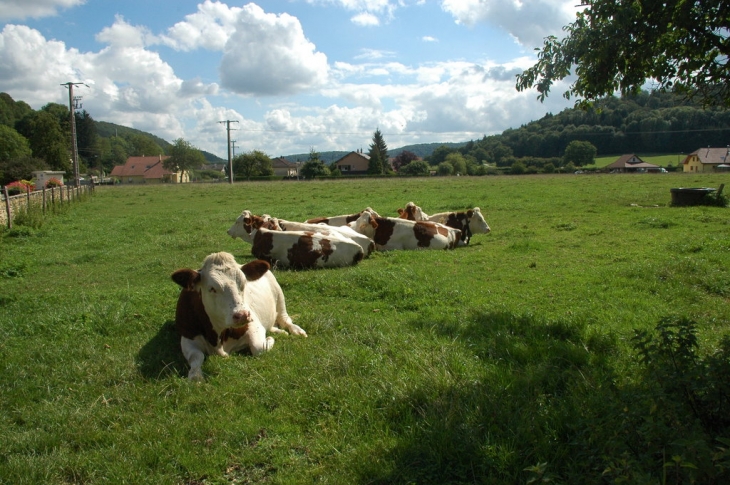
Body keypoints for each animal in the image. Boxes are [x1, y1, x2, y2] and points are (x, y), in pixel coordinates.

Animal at [171, 251, 304, 380]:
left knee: (285, 318)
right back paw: (278, 331)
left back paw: (296, 330)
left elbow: (259, 347)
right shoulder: (187, 336)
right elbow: (196, 357)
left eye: (244, 284)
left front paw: (269, 340)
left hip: (279, 295)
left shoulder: (254, 325)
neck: (218, 338)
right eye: (212, 288)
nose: (242, 315)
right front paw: (196, 376)